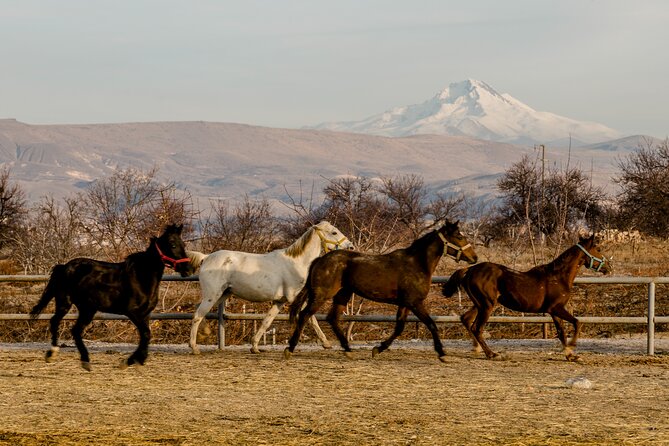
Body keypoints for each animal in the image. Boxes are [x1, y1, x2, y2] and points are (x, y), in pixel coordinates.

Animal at [31, 225, 193, 372]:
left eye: (184, 244)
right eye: (172, 244)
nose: (188, 269)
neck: (141, 277)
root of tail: (64, 266)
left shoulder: (146, 314)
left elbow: (145, 336)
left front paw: (137, 360)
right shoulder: (133, 312)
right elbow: (146, 335)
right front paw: (128, 361)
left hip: (87, 309)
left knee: (75, 330)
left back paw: (85, 361)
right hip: (66, 302)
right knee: (56, 322)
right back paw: (53, 354)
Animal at [187, 221, 354, 354]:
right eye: (334, 232)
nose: (351, 247)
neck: (297, 262)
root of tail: (206, 258)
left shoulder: (279, 301)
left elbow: (267, 321)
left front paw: (254, 347)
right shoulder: (295, 298)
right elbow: (310, 318)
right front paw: (326, 343)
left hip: (222, 294)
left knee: (198, 311)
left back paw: (203, 334)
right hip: (212, 295)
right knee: (197, 316)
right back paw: (194, 348)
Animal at [284, 220, 478, 362]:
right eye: (459, 236)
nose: (474, 257)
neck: (417, 263)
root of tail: (320, 260)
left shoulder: (405, 303)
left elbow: (399, 327)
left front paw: (378, 349)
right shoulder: (415, 302)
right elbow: (431, 324)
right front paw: (442, 353)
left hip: (343, 295)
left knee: (332, 318)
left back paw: (348, 350)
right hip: (322, 295)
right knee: (305, 315)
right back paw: (290, 349)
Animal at [440, 235, 608, 360]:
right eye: (598, 249)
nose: (608, 267)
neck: (559, 277)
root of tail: (469, 270)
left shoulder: (554, 311)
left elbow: (561, 332)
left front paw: (570, 355)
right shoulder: (556, 308)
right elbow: (577, 322)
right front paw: (572, 348)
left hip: (480, 304)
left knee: (466, 319)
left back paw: (477, 349)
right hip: (486, 305)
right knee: (477, 327)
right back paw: (492, 354)